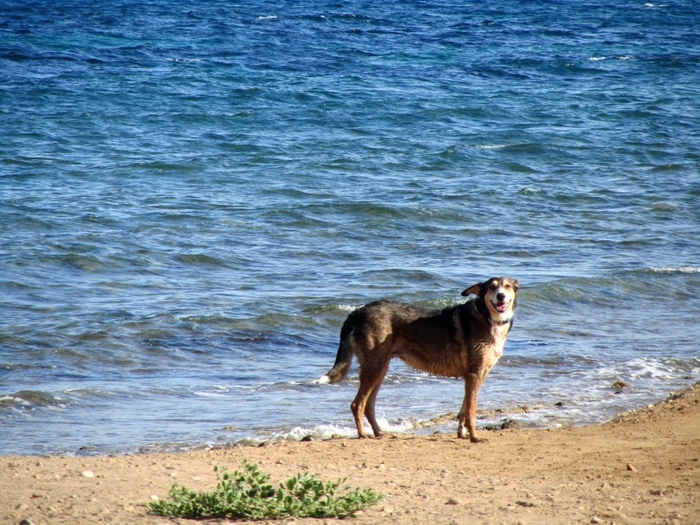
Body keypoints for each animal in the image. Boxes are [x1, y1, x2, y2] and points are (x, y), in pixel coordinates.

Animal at [320, 276, 516, 440]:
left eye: (507, 286)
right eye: (492, 287)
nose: (501, 296)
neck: (487, 317)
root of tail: (358, 312)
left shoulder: (477, 375)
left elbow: (464, 410)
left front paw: (462, 433)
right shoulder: (474, 375)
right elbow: (471, 411)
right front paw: (474, 436)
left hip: (380, 368)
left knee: (368, 406)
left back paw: (379, 433)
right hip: (374, 368)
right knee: (357, 405)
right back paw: (363, 435)